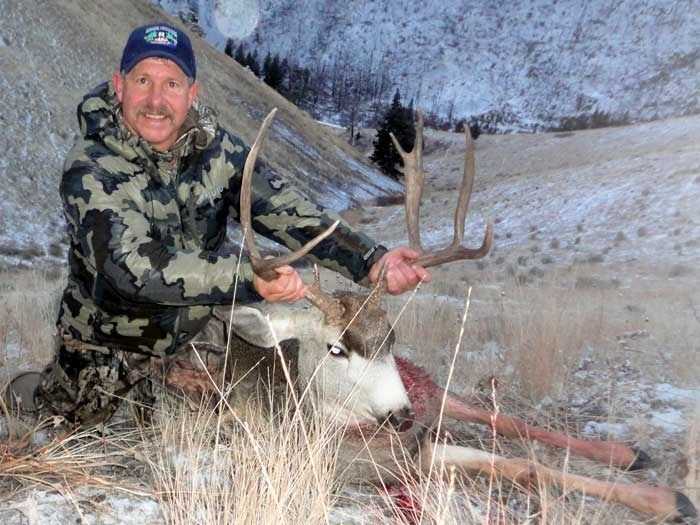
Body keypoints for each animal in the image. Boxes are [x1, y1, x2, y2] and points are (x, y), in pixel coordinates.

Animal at [162, 109, 697, 524]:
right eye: (336, 348)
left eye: (391, 336)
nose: (401, 415)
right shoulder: (399, 462)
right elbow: (519, 466)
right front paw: (670, 499)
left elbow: (518, 456)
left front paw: (669, 498)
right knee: (490, 417)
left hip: (425, 386)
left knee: (487, 411)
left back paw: (630, 453)